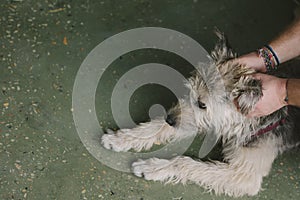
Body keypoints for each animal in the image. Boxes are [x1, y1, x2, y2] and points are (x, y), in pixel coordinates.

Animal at [101, 32, 298, 196]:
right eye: (189, 92)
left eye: (202, 104)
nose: (169, 119)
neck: (250, 121)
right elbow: (158, 126)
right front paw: (121, 138)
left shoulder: (244, 175)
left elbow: (185, 161)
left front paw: (154, 166)